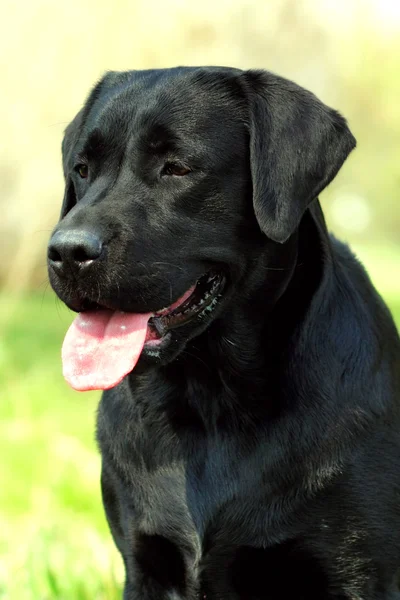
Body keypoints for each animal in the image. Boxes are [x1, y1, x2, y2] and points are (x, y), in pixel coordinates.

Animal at [47, 68, 400, 596]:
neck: (208, 403)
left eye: (176, 168)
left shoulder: (358, 570)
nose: (67, 251)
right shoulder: (145, 563)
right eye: (83, 168)